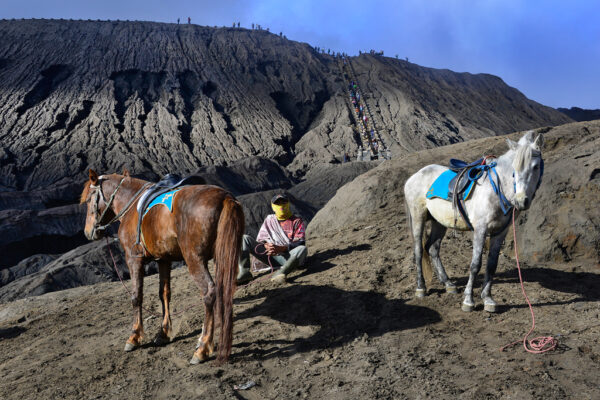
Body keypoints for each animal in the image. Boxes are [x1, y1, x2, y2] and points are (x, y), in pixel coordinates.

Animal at [79, 169, 244, 362]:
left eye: (89, 200)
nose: (88, 232)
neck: (131, 204)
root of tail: (225, 197)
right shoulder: (163, 260)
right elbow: (164, 294)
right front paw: (163, 333)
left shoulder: (133, 259)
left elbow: (136, 296)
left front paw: (134, 337)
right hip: (222, 256)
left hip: (194, 259)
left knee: (210, 292)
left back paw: (202, 348)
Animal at [404, 131, 544, 312]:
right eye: (514, 169)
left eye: (535, 166)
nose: (521, 201)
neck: (495, 190)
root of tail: (414, 176)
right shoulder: (480, 230)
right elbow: (475, 264)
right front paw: (468, 300)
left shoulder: (500, 232)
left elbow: (491, 265)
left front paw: (488, 299)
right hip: (418, 217)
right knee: (418, 250)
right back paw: (421, 287)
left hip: (439, 222)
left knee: (432, 248)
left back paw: (448, 283)